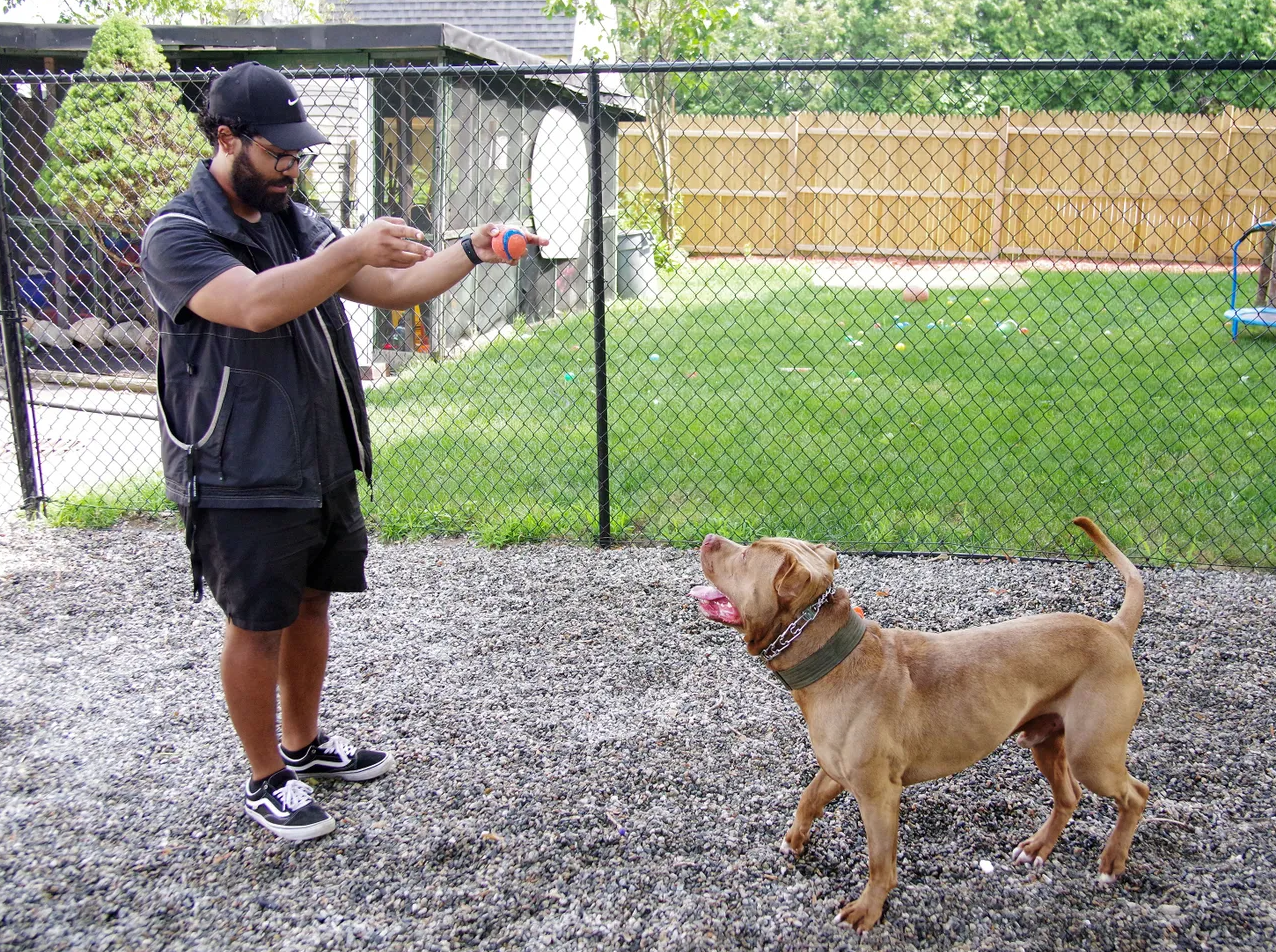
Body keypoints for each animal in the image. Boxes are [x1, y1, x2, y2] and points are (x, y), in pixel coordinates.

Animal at [694, 518, 1153, 929]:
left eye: (747, 554)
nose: (710, 536)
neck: (831, 656)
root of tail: (1114, 631)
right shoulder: (836, 769)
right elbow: (808, 798)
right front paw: (795, 840)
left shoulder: (879, 794)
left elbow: (880, 862)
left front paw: (869, 910)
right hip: (1046, 739)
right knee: (1068, 795)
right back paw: (1038, 847)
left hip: (1092, 753)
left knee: (1136, 794)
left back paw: (1112, 861)